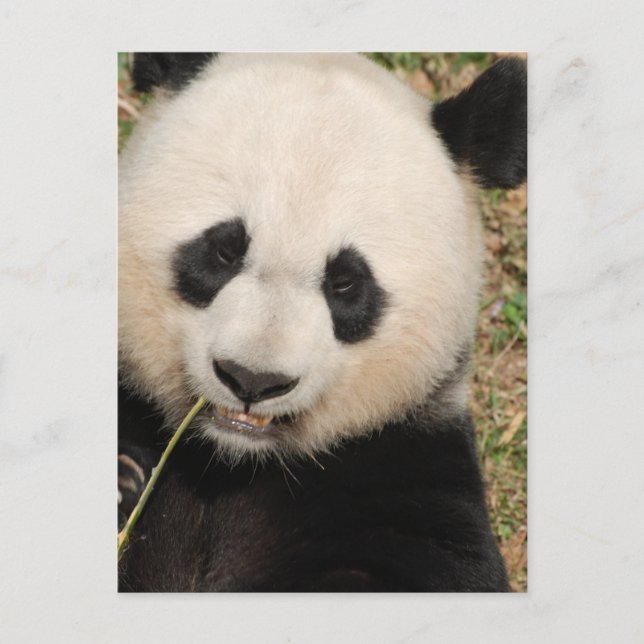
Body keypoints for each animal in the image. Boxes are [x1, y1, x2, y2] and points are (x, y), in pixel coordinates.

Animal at [118, 53, 526, 592]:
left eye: (346, 282)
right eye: (224, 250)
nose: (253, 380)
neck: (228, 462)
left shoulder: (400, 466)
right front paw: (124, 476)